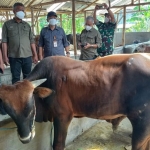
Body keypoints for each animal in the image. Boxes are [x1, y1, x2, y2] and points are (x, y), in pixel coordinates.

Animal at [0, 54, 150, 150]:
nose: (25, 138)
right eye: (9, 111)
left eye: (31, 107)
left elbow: (58, 144)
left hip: (142, 124)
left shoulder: (63, 116)